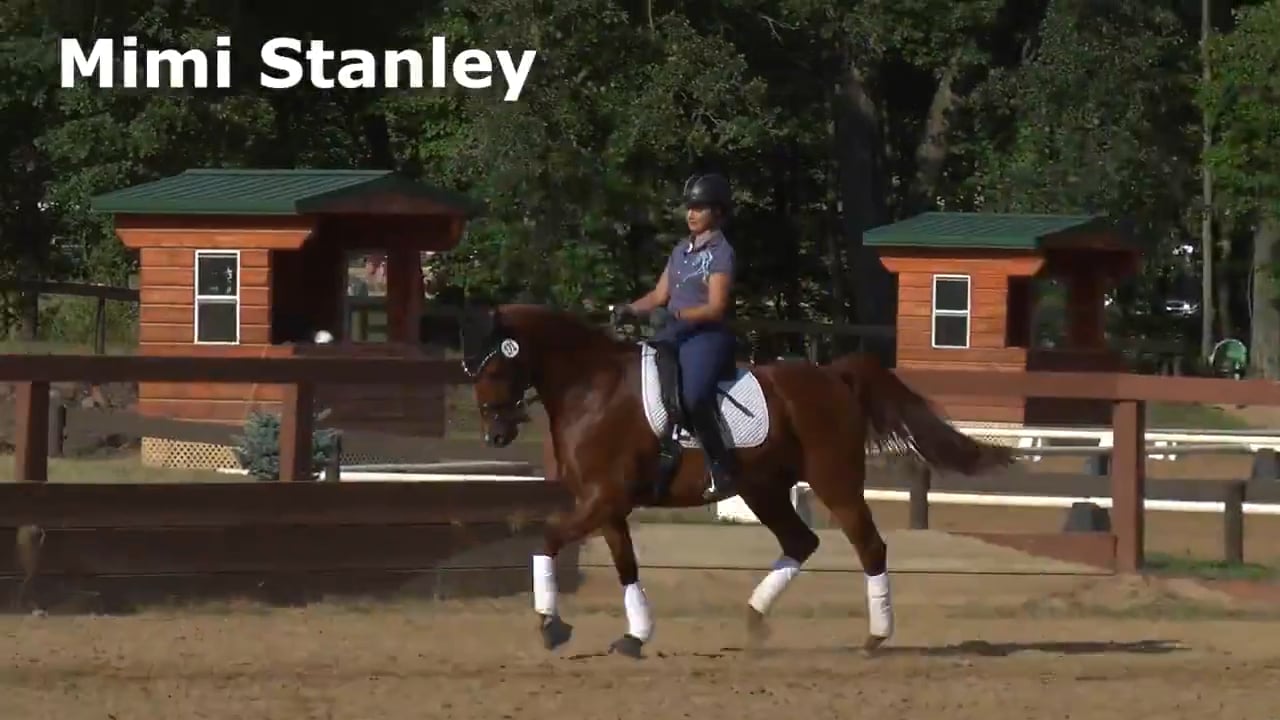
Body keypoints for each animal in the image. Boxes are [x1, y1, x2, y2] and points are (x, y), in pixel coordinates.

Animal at [458, 303, 1013, 658]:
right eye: (471, 372)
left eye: (495, 368)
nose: (495, 435)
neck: (592, 389)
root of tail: (833, 376)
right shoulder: (607, 504)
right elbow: (625, 565)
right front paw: (636, 636)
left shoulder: (601, 498)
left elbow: (549, 537)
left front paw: (551, 625)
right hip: (763, 489)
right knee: (800, 541)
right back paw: (755, 618)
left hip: (834, 482)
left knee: (869, 546)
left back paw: (876, 637)